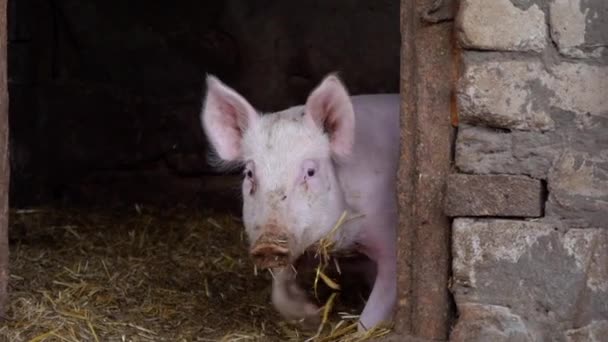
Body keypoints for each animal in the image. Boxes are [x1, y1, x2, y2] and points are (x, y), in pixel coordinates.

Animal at [201, 73, 400, 332]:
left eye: (310, 172)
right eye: (250, 174)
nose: (268, 243)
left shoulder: (389, 240)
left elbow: (370, 320)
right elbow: (279, 292)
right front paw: (313, 315)